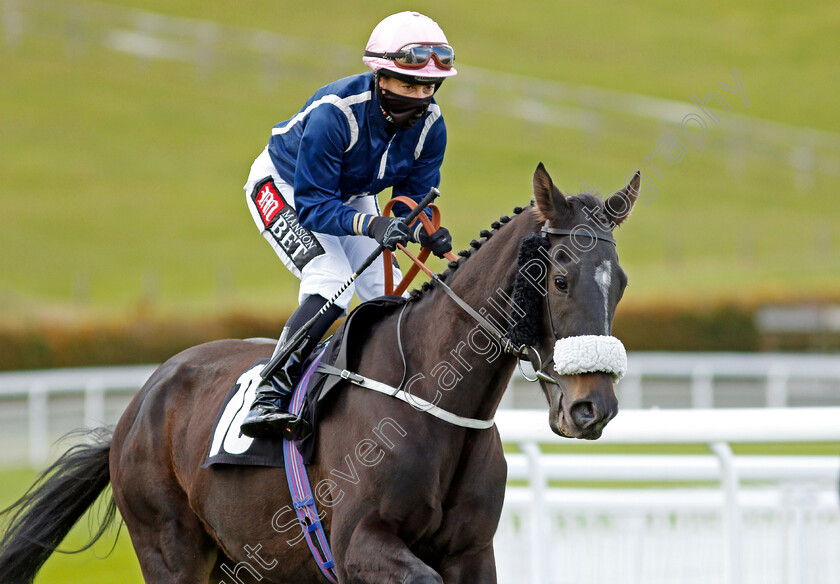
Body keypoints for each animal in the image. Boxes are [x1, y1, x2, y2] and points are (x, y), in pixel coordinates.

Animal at [0, 164, 640, 584]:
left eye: (621, 282)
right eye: (560, 279)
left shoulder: (474, 551)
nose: (593, 407)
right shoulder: (358, 543)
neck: (432, 399)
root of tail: (137, 407)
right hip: (169, 545)